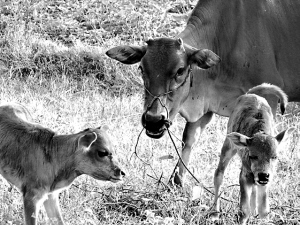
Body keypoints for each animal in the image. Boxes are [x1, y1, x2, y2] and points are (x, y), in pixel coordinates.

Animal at [106, 0, 300, 185]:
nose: (153, 120)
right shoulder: (204, 108)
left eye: (180, 70)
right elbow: (188, 140)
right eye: (141, 69)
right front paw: (176, 183)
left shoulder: (269, 99)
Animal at [212, 83, 294, 224]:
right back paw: (214, 213)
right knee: (219, 174)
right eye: (252, 156)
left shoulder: (267, 178)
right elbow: (243, 211)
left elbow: (264, 211)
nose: (263, 176)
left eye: (275, 157)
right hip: (228, 145)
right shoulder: (244, 175)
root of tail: (251, 94)